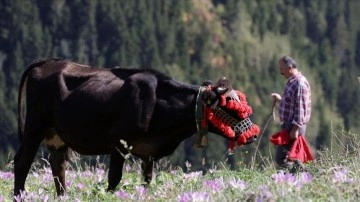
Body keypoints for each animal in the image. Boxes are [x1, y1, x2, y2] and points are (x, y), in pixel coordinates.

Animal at [14, 57, 258, 196]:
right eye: (230, 108)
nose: (254, 134)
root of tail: (47, 62)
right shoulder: (119, 143)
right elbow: (114, 179)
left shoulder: (148, 152)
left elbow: (147, 180)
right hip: (34, 126)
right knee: (22, 161)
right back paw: (20, 195)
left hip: (56, 135)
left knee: (58, 165)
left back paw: (62, 195)